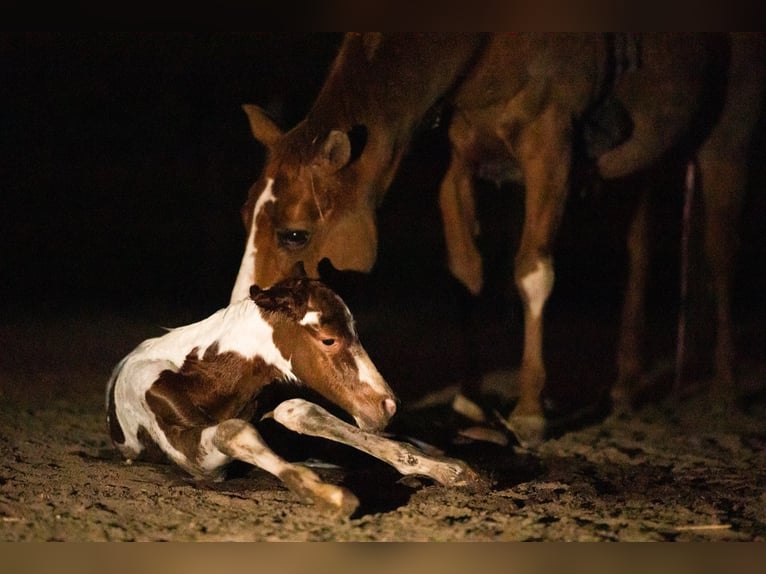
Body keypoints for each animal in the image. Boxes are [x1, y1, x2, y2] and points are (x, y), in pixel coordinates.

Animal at [229, 33, 765, 447]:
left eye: (295, 234)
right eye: (245, 215)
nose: (244, 312)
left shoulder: (551, 146)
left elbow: (533, 272)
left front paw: (529, 410)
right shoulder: (459, 161)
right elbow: (466, 273)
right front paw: (471, 399)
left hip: (727, 135)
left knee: (721, 248)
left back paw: (724, 386)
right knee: (639, 252)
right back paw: (628, 386)